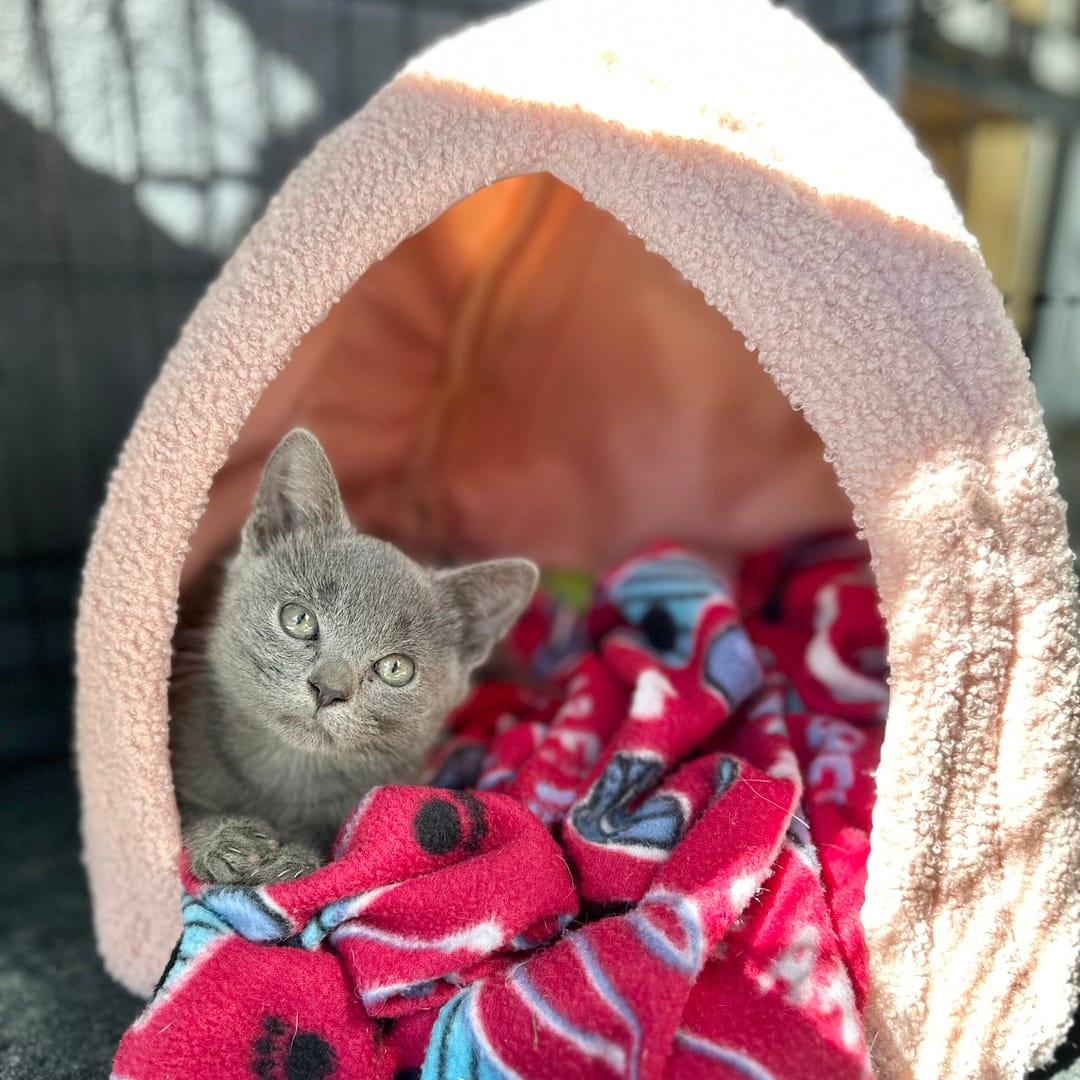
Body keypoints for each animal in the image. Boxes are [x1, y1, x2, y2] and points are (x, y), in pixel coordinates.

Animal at [170, 429, 537, 885]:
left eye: (396, 668)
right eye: (298, 618)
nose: (327, 689)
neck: (289, 772)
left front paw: (294, 858)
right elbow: (183, 811)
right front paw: (225, 838)